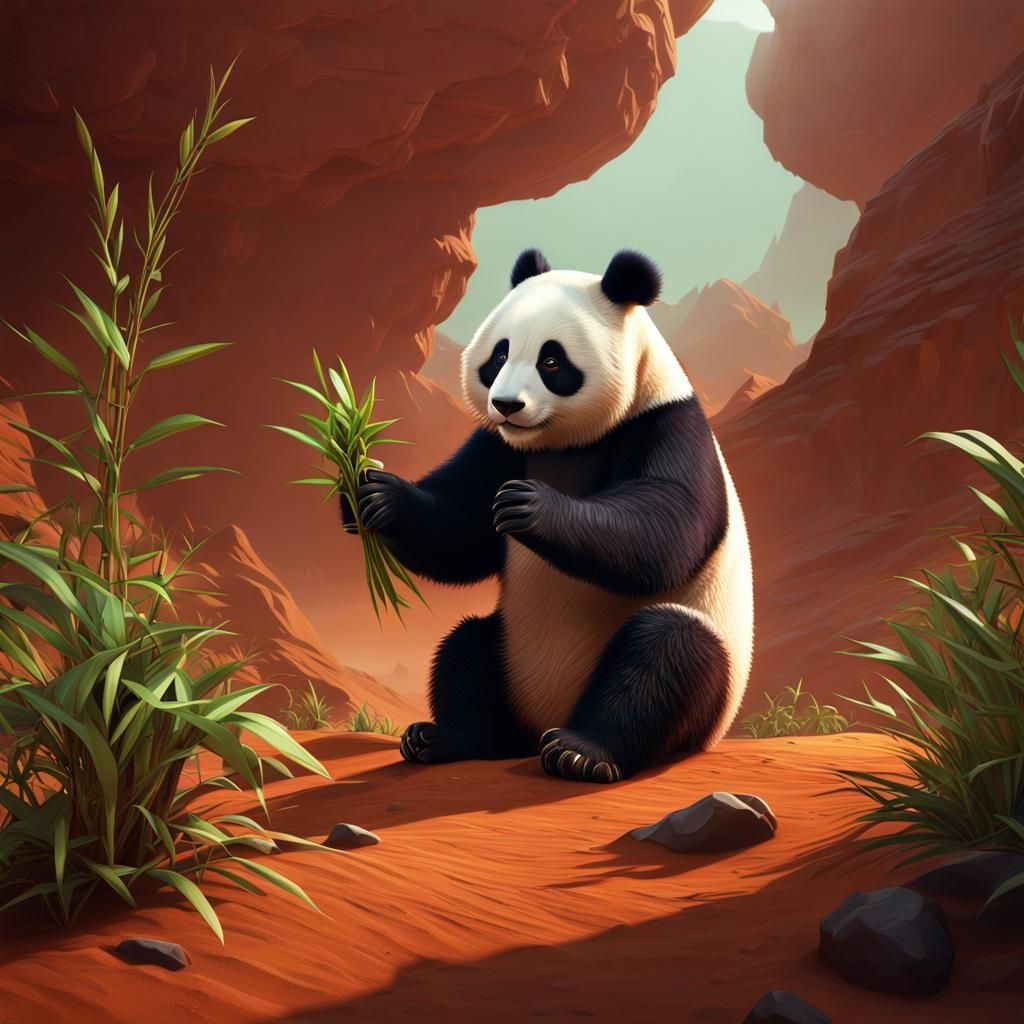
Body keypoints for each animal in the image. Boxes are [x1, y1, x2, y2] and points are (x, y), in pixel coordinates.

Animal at [343, 249, 753, 783]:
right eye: (499, 355)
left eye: (551, 361)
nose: (505, 404)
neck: (562, 444)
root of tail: (547, 717)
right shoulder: (500, 447)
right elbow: (461, 529)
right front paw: (372, 492)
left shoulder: (665, 425)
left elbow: (666, 530)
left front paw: (529, 507)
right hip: (510, 652)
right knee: (466, 648)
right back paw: (448, 738)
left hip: (708, 678)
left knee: (666, 655)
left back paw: (582, 752)